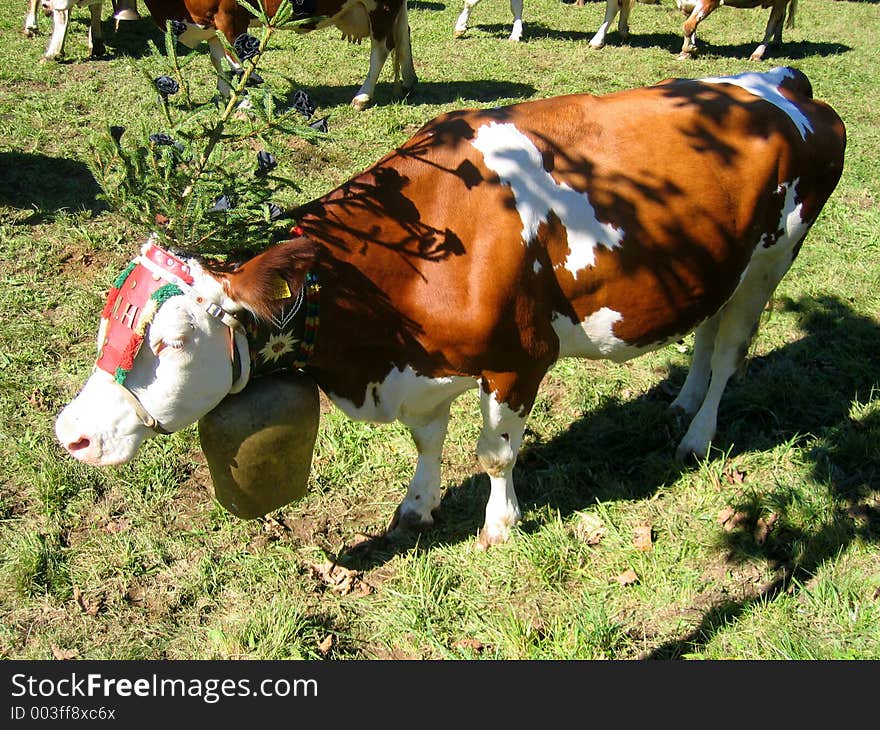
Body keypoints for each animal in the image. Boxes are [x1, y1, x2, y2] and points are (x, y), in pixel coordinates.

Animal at [55, 67, 844, 544]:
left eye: (174, 340)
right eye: (106, 318)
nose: (71, 436)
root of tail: (776, 81)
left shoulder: (521, 360)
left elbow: (494, 453)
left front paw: (498, 526)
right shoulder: (420, 370)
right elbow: (427, 440)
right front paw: (417, 506)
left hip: (771, 261)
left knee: (732, 351)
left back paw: (697, 437)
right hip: (722, 266)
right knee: (707, 337)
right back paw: (680, 404)